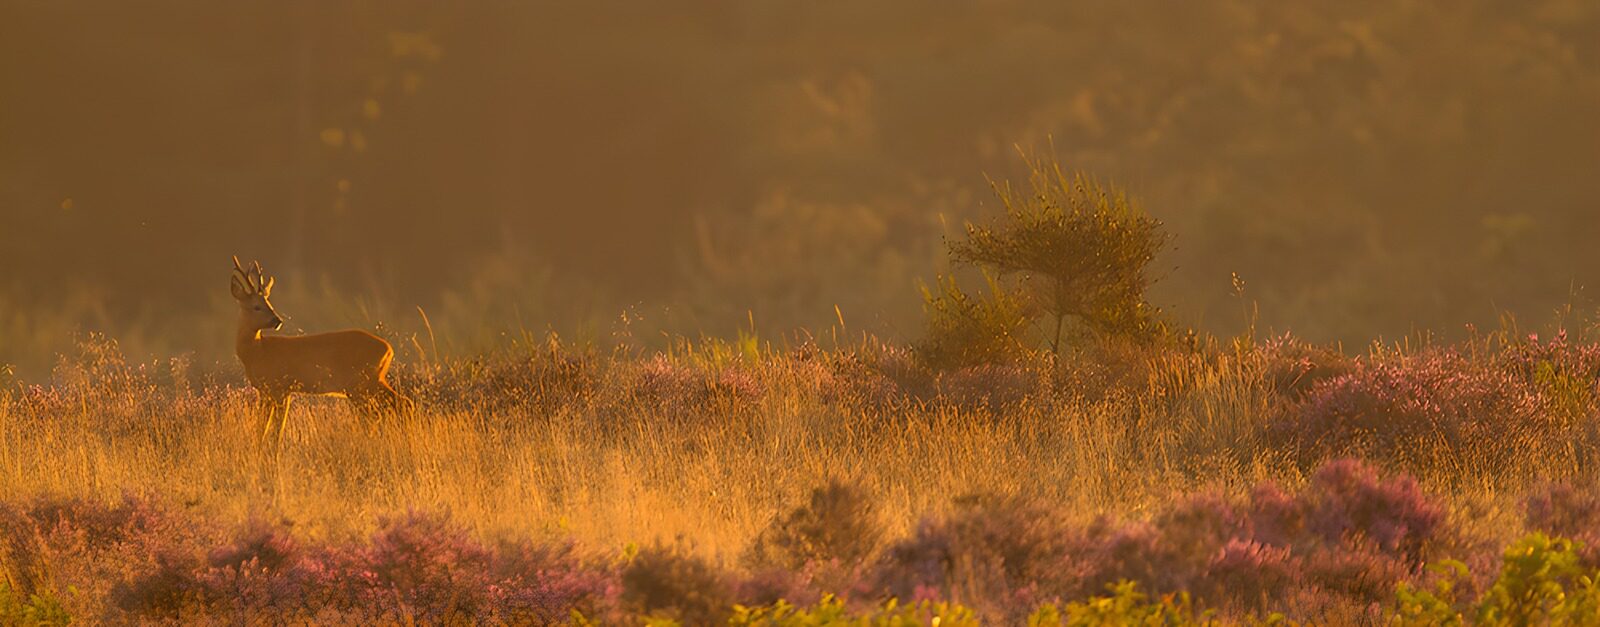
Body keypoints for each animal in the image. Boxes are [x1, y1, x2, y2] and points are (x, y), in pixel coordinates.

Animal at [230, 257, 412, 457]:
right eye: (257, 306)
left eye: (269, 305)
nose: (277, 320)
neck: (257, 352)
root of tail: (389, 349)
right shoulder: (268, 390)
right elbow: (263, 426)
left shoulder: (279, 387)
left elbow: (276, 428)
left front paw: (272, 454)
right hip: (372, 381)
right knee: (401, 403)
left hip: (361, 384)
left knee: (384, 411)